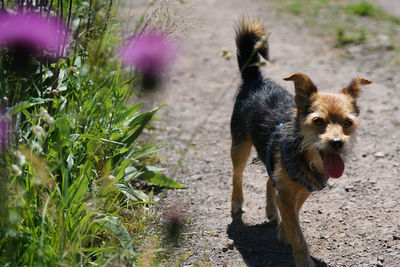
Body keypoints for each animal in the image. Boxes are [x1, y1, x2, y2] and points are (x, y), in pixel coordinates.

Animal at [231, 17, 372, 266]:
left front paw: (283, 231)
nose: (337, 142)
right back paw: (237, 203)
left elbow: (293, 215)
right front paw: (302, 257)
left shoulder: (302, 190)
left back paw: (271, 212)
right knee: (236, 175)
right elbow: (298, 235)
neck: (304, 156)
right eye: (318, 121)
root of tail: (255, 80)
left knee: (268, 180)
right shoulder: (289, 194)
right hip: (239, 146)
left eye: (347, 122)